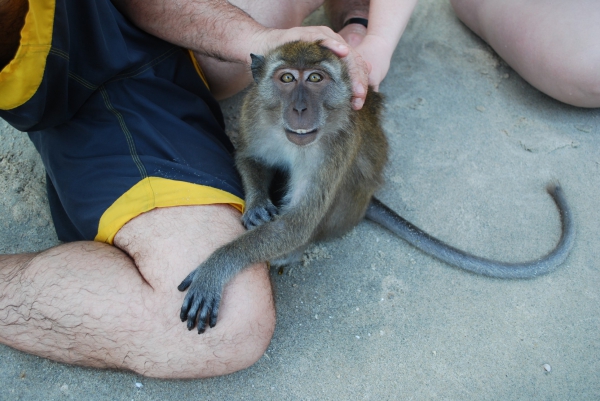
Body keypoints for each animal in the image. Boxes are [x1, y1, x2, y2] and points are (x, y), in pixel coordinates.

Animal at [177, 41, 572, 332]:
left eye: (316, 78)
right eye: (287, 78)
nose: (301, 108)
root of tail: (367, 200)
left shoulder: (338, 146)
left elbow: (298, 223)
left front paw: (216, 266)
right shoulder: (252, 113)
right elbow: (250, 158)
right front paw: (258, 204)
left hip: (349, 197)